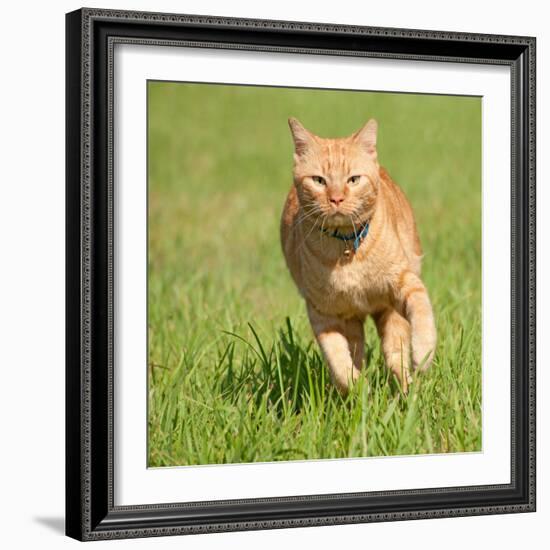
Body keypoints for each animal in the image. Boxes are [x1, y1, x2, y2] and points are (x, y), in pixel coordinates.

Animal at [282, 118, 438, 396]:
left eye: (353, 179)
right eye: (319, 180)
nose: (336, 198)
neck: (346, 249)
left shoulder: (405, 282)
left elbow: (422, 313)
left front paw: (423, 355)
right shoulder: (322, 312)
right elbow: (338, 360)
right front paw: (357, 388)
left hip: (390, 312)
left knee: (394, 353)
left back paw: (407, 390)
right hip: (353, 319)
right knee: (358, 350)